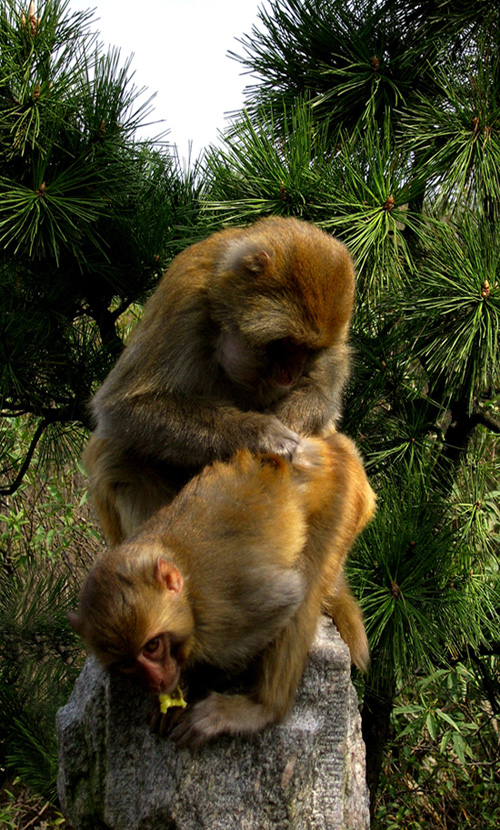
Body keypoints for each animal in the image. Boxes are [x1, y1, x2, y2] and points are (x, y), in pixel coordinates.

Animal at [70, 436, 376, 748]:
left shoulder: (223, 609)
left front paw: (193, 686)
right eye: (126, 664)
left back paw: (262, 708)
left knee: (310, 577)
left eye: (152, 646)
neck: (187, 587)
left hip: (341, 499)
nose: (157, 680)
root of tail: (329, 446)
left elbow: (288, 598)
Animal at [83, 218, 356, 548]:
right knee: (115, 455)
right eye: (289, 344)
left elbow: (326, 387)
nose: (292, 372)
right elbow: (125, 407)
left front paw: (289, 420)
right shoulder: (185, 301)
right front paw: (261, 433)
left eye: (309, 350)